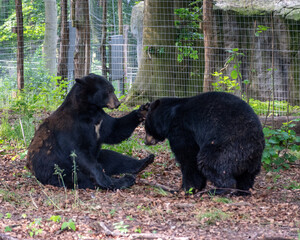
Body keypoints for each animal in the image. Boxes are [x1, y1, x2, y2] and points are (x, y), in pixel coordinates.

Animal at [26, 73, 154, 189]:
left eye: (112, 89)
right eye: (108, 91)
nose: (118, 103)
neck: (89, 110)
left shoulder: (101, 120)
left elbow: (115, 129)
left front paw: (143, 110)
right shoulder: (71, 127)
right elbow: (78, 151)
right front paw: (104, 180)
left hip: (99, 156)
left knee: (114, 158)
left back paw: (144, 161)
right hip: (56, 167)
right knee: (77, 177)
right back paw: (120, 180)